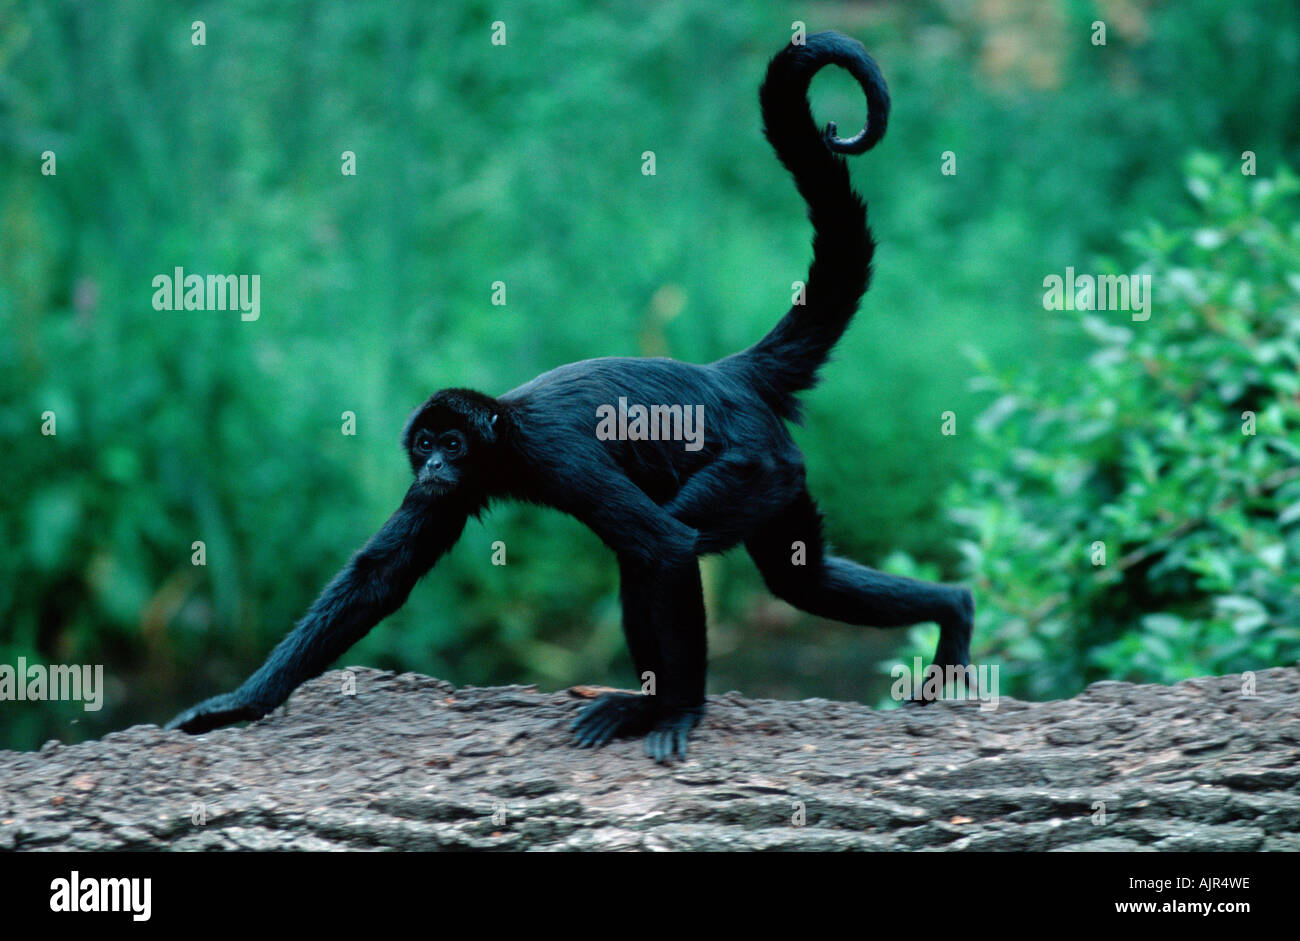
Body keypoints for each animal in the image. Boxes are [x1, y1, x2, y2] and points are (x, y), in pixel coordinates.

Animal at [166, 31, 975, 762]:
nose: (436, 465)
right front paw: (237, 703)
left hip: (755, 464)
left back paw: (658, 704)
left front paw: (680, 711)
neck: (506, 435)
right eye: (426, 446)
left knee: (660, 548)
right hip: (781, 474)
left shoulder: (554, 454)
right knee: (799, 577)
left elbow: (664, 546)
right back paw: (955, 606)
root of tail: (728, 375)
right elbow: (379, 578)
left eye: (452, 442)